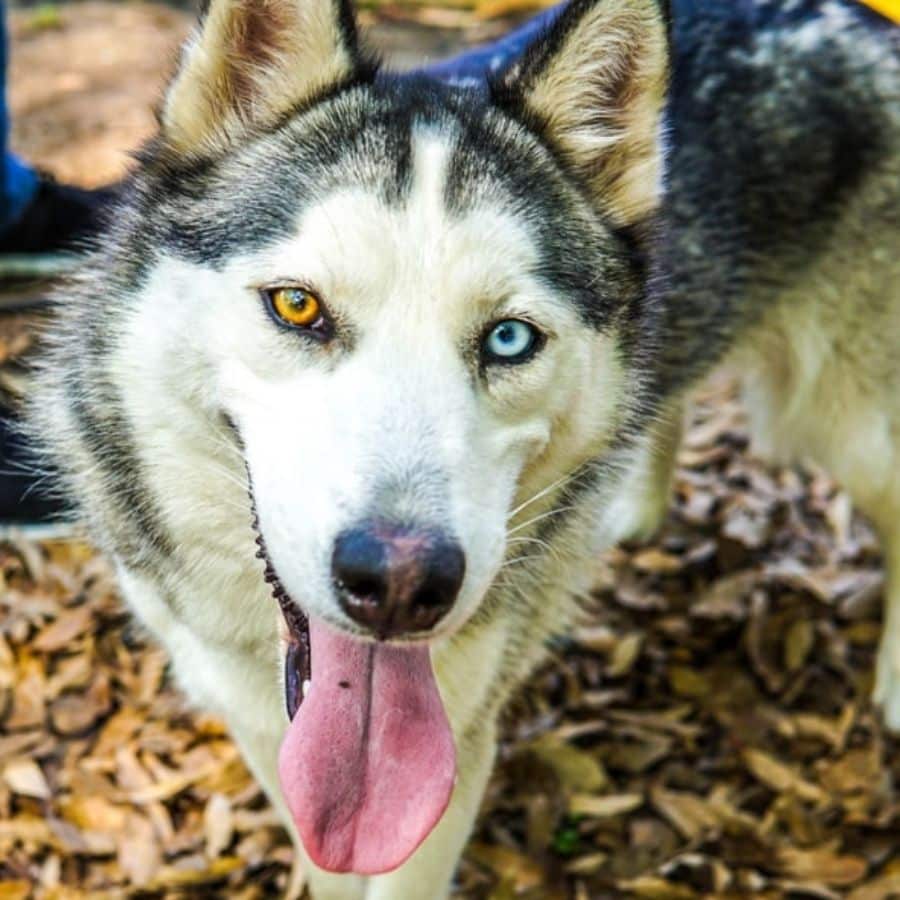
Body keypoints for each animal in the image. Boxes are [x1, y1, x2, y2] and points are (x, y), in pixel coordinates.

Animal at [28, 0, 900, 896]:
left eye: (510, 338)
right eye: (299, 306)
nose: (400, 582)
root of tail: (860, 19)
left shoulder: (451, 758)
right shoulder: (261, 731)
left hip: (843, 424)